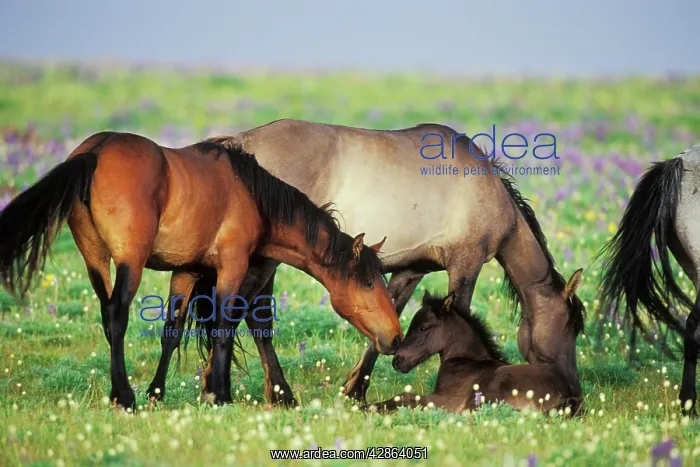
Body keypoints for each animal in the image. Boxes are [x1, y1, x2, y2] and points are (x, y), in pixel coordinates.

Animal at [0, 131, 403, 410]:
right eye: (369, 283)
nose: (396, 338)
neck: (252, 195)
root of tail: (96, 150)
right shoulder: (232, 266)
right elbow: (224, 327)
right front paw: (218, 395)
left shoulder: (187, 273)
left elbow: (172, 331)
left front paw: (157, 392)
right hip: (129, 261)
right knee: (117, 314)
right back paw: (123, 396)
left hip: (95, 260)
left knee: (106, 315)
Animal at [363, 289, 583, 414]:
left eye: (423, 328)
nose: (397, 361)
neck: (465, 360)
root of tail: (566, 395)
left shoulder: (447, 400)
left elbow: (405, 397)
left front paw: (366, 407)